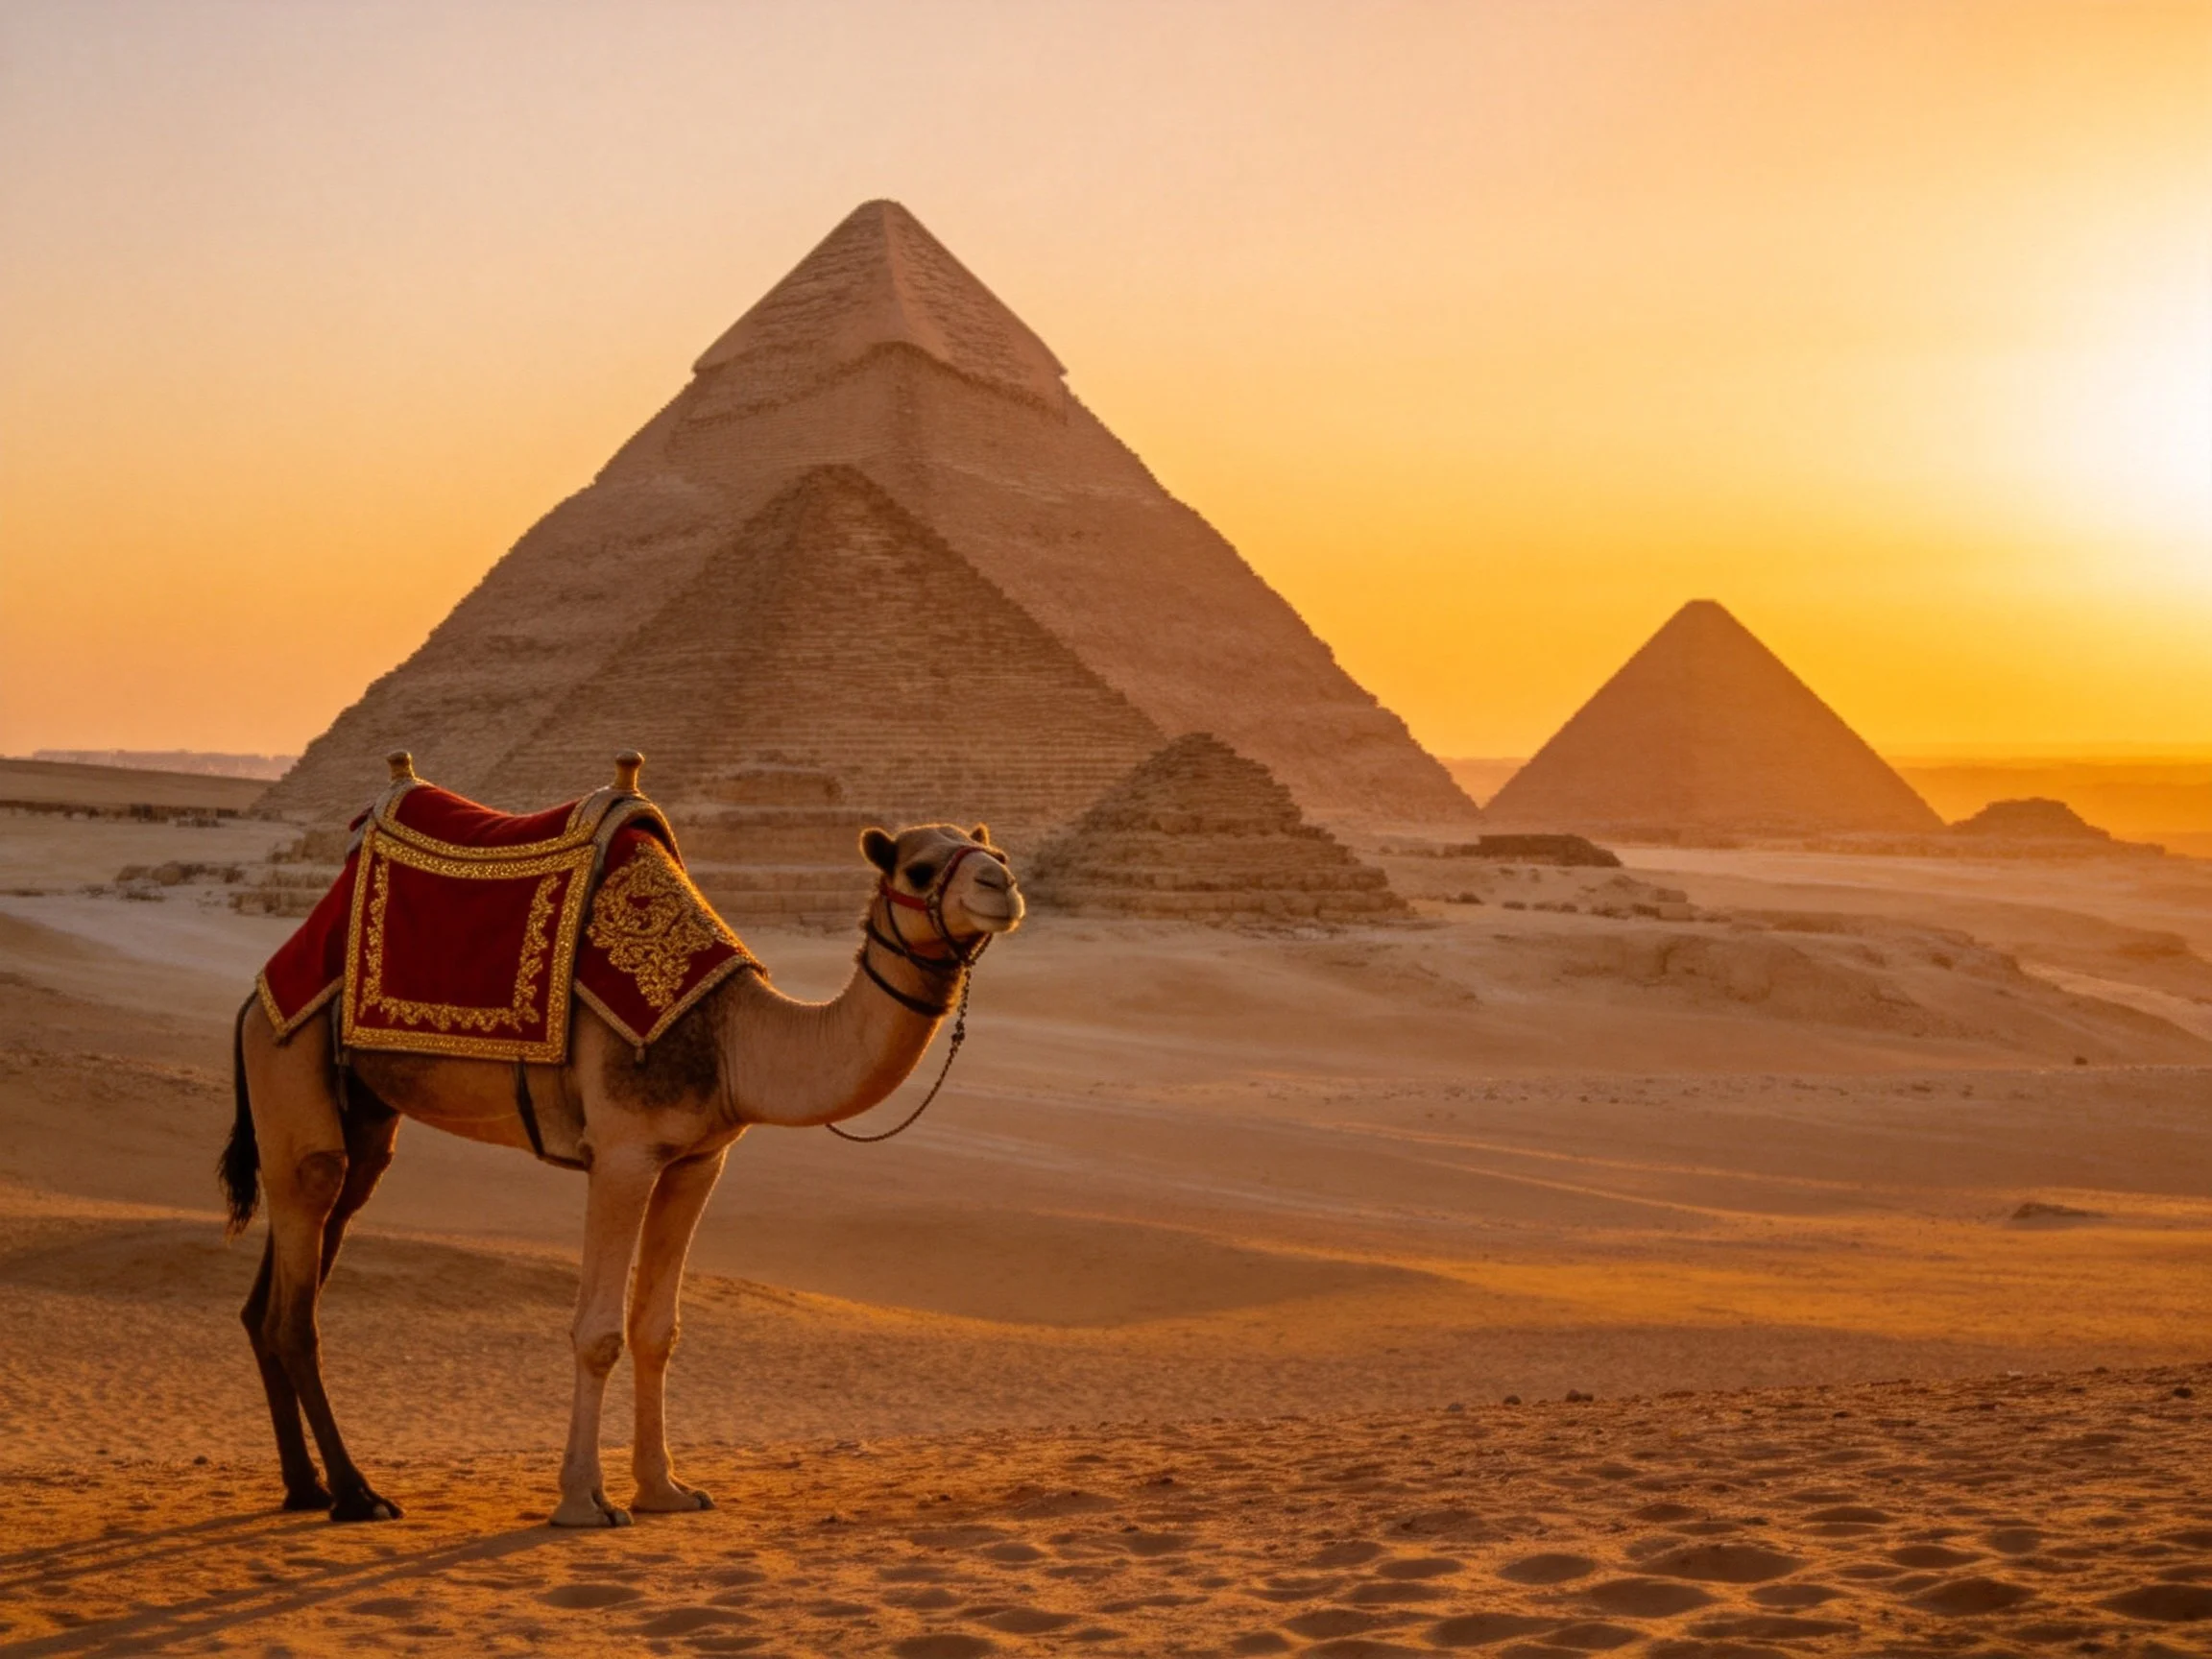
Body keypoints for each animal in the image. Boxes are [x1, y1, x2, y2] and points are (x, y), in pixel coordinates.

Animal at [219, 813, 1023, 1527]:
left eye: (995, 852)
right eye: (918, 868)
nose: (1004, 887)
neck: (734, 1040)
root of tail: (254, 997)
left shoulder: (698, 1159)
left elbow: (657, 1329)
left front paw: (666, 1489)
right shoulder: (623, 1152)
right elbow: (599, 1332)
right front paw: (584, 1501)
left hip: (360, 1117)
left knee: (281, 1283)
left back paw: (305, 1488)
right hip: (288, 1062)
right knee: (297, 1304)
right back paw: (357, 1495)